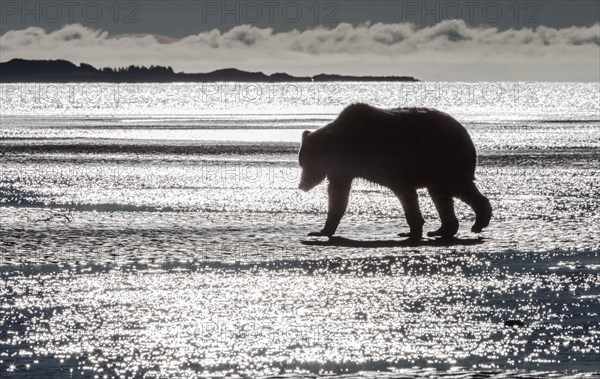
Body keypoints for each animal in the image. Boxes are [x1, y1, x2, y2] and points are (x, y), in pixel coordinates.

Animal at [300, 103, 492, 240]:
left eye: (306, 164)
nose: (301, 185)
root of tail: (465, 132)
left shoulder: (389, 163)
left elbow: (405, 193)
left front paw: (412, 230)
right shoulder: (343, 171)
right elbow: (337, 195)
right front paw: (322, 230)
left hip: (445, 159)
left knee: (457, 186)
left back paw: (478, 222)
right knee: (441, 195)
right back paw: (441, 230)